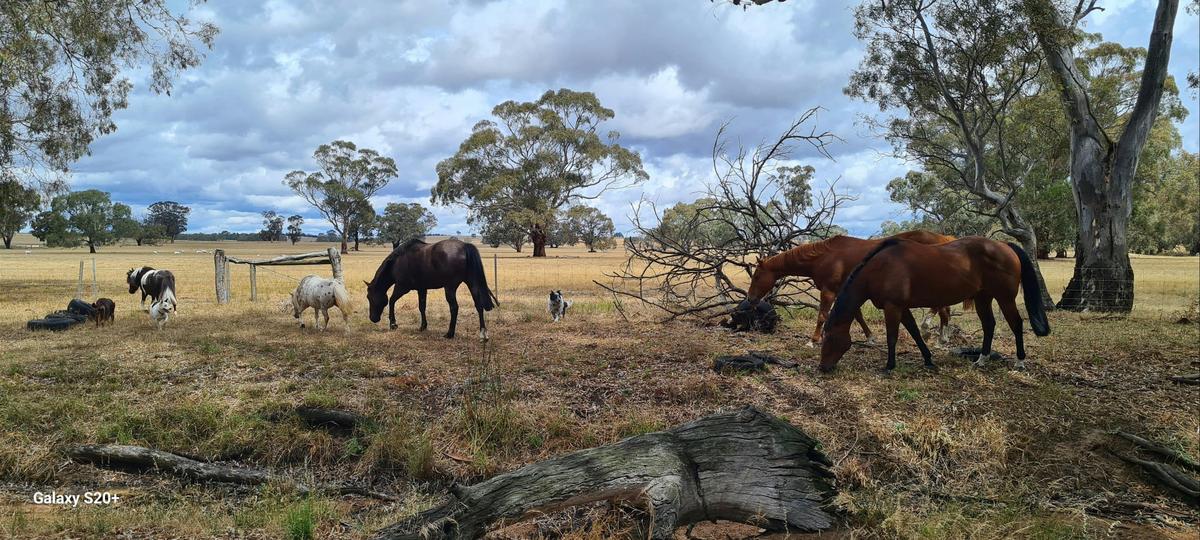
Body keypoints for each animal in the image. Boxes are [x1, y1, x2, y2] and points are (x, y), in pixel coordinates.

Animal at [365, 238, 498, 340]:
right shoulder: (422, 289)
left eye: (369, 297)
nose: (372, 318)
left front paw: (393, 324)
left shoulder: (402, 287)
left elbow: (392, 301)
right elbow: (422, 307)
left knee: (454, 308)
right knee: (479, 305)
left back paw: (449, 334)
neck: (397, 262)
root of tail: (464, 246)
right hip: (472, 284)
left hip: (450, 288)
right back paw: (483, 334)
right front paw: (423, 326)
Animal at [736, 230, 962, 345]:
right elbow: (857, 315)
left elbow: (822, 315)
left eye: (757, 276)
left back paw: (931, 332)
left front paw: (813, 340)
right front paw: (870, 338)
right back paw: (940, 337)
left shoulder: (829, 291)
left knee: (941, 308)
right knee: (944, 310)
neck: (825, 257)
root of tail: (946, 239)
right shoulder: (845, 290)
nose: (750, 299)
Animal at [819, 237, 1051, 373]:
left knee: (1016, 324)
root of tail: (1004, 245)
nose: (823, 367)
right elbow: (915, 333)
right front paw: (929, 360)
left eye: (828, 338)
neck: (880, 268)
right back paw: (981, 360)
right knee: (989, 326)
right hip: (982, 298)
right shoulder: (902, 308)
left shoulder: (893, 307)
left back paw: (1019, 362)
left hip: (1005, 298)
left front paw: (889, 366)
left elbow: (892, 337)